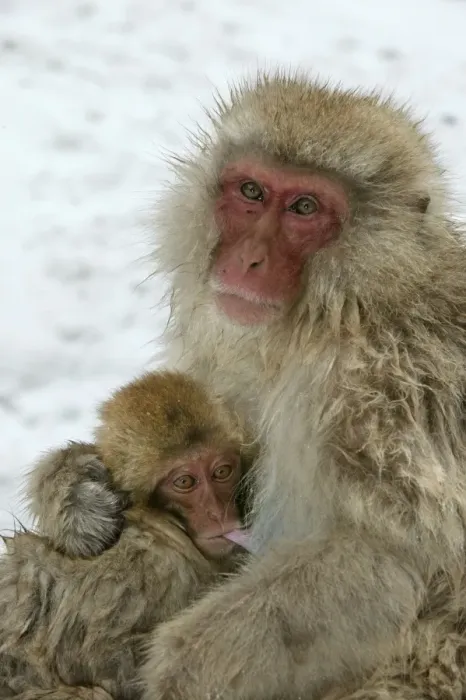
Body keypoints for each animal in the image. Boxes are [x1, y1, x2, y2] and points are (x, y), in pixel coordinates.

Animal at [0, 370, 253, 700]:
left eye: (222, 472)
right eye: (185, 481)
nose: (216, 513)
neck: (165, 525)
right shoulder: (155, 567)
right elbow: (102, 657)